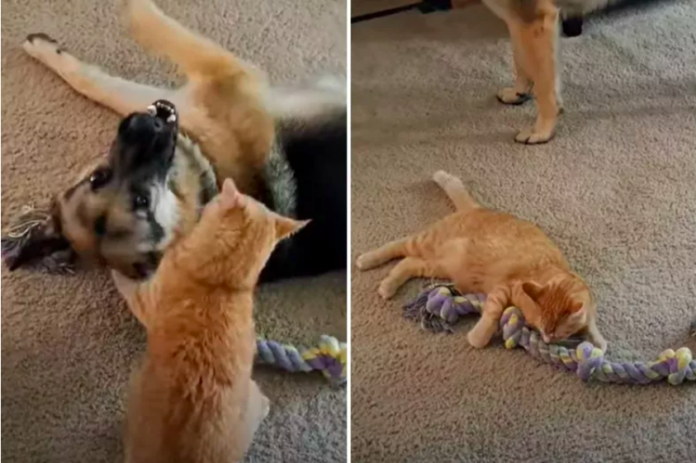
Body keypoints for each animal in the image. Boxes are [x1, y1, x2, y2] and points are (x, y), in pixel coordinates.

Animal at [2, 0, 346, 282]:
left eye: (98, 177)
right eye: (141, 202)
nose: (144, 126)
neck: (209, 184)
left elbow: (101, 81)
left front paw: (43, 49)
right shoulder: (219, 82)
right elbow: (141, 36)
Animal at [356, 170, 608, 352]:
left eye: (555, 332)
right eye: (539, 327)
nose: (545, 339)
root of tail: (477, 209)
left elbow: (592, 326)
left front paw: (598, 342)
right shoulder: (504, 288)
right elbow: (493, 312)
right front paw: (478, 337)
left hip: (438, 265)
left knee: (407, 263)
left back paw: (388, 285)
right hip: (426, 242)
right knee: (398, 245)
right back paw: (367, 260)